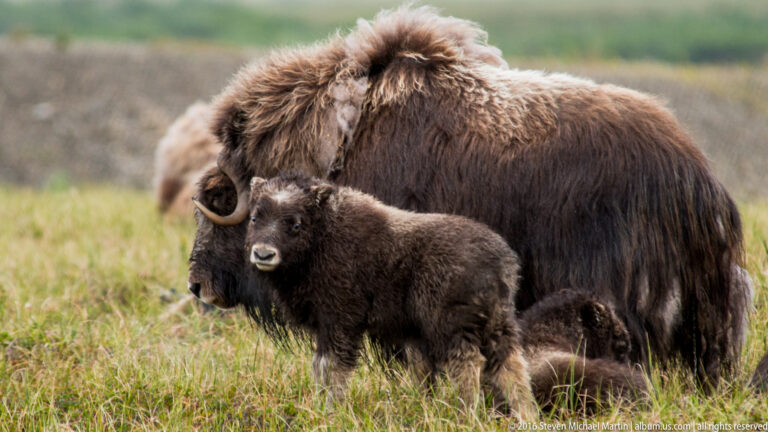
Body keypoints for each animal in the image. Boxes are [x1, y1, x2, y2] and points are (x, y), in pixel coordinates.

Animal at [242, 172, 538, 419]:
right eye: (255, 218)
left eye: (295, 224)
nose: (263, 254)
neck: (323, 236)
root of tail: (501, 262)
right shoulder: (325, 327)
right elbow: (319, 366)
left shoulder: (340, 321)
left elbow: (332, 368)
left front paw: (330, 412)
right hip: (498, 323)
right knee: (511, 365)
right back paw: (527, 416)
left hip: (450, 326)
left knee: (468, 363)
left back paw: (465, 415)